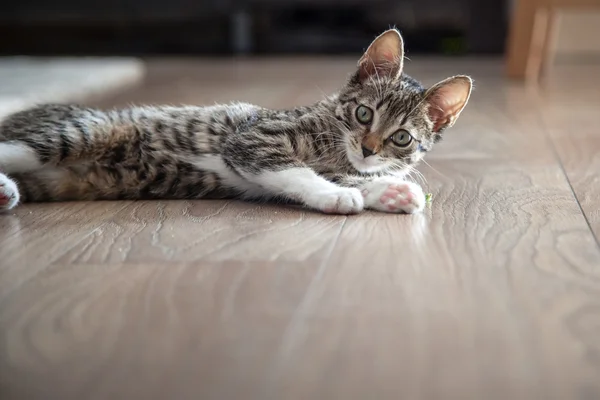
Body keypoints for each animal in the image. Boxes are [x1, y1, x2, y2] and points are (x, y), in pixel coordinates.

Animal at [0, 28, 472, 214]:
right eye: (363, 113)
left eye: (402, 138)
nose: (369, 149)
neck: (335, 145)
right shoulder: (252, 137)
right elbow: (295, 170)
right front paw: (335, 195)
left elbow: (351, 176)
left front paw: (391, 191)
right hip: (82, 132)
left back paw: (6, 194)